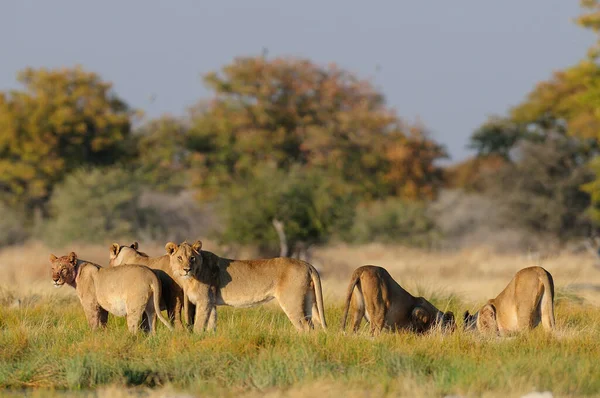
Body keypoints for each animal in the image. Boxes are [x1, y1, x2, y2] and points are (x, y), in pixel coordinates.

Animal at [164, 239, 326, 332]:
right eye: (179, 258)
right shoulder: (211, 302)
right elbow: (211, 324)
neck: (190, 277)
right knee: (314, 324)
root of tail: (307, 264)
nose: (187, 269)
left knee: (305, 327)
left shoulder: (204, 300)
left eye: (192, 258)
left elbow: (199, 326)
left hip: (292, 302)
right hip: (309, 301)